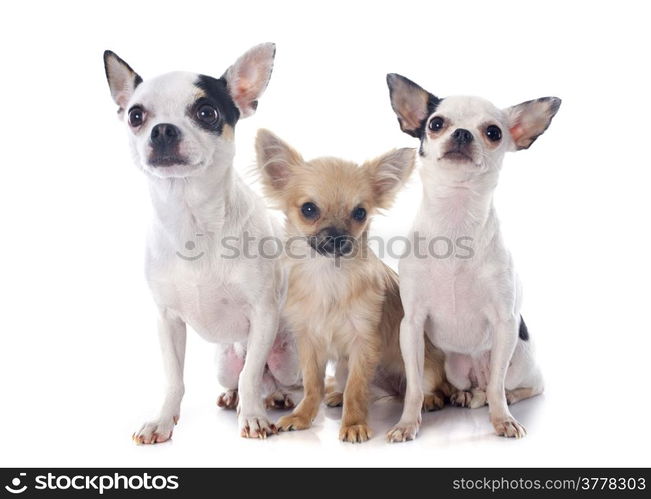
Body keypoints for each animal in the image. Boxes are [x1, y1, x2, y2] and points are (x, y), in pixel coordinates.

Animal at [256, 131, 454, 444]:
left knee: (427, 389)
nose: (338, 236)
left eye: (360, 213)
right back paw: (337, 395)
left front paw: (354, 424)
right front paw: (303, 416)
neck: (328, 275)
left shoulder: (364, 344)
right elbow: (313, 384)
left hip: (424, 368)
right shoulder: (309, 342)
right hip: (345, 367)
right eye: (309, 209)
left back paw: (431, 399)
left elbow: (357, 389)